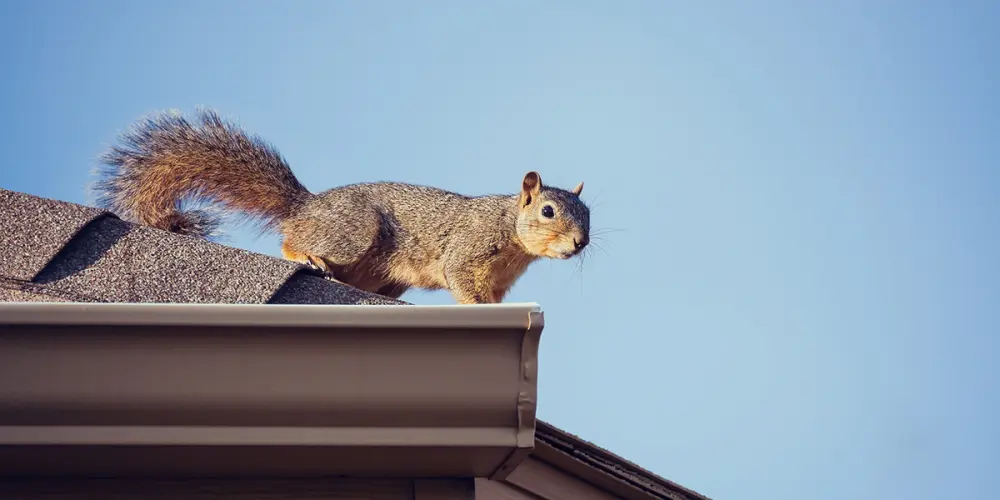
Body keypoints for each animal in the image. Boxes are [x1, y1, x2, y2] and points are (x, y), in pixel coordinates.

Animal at [92, 110, 584, 304]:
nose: (580, 243)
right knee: (292, 240)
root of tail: (307, 206)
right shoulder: (468, 249)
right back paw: (307, 256)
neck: (511, 232)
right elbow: (460, 278)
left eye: (590, 216)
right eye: (547, 211)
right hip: (353, 233)